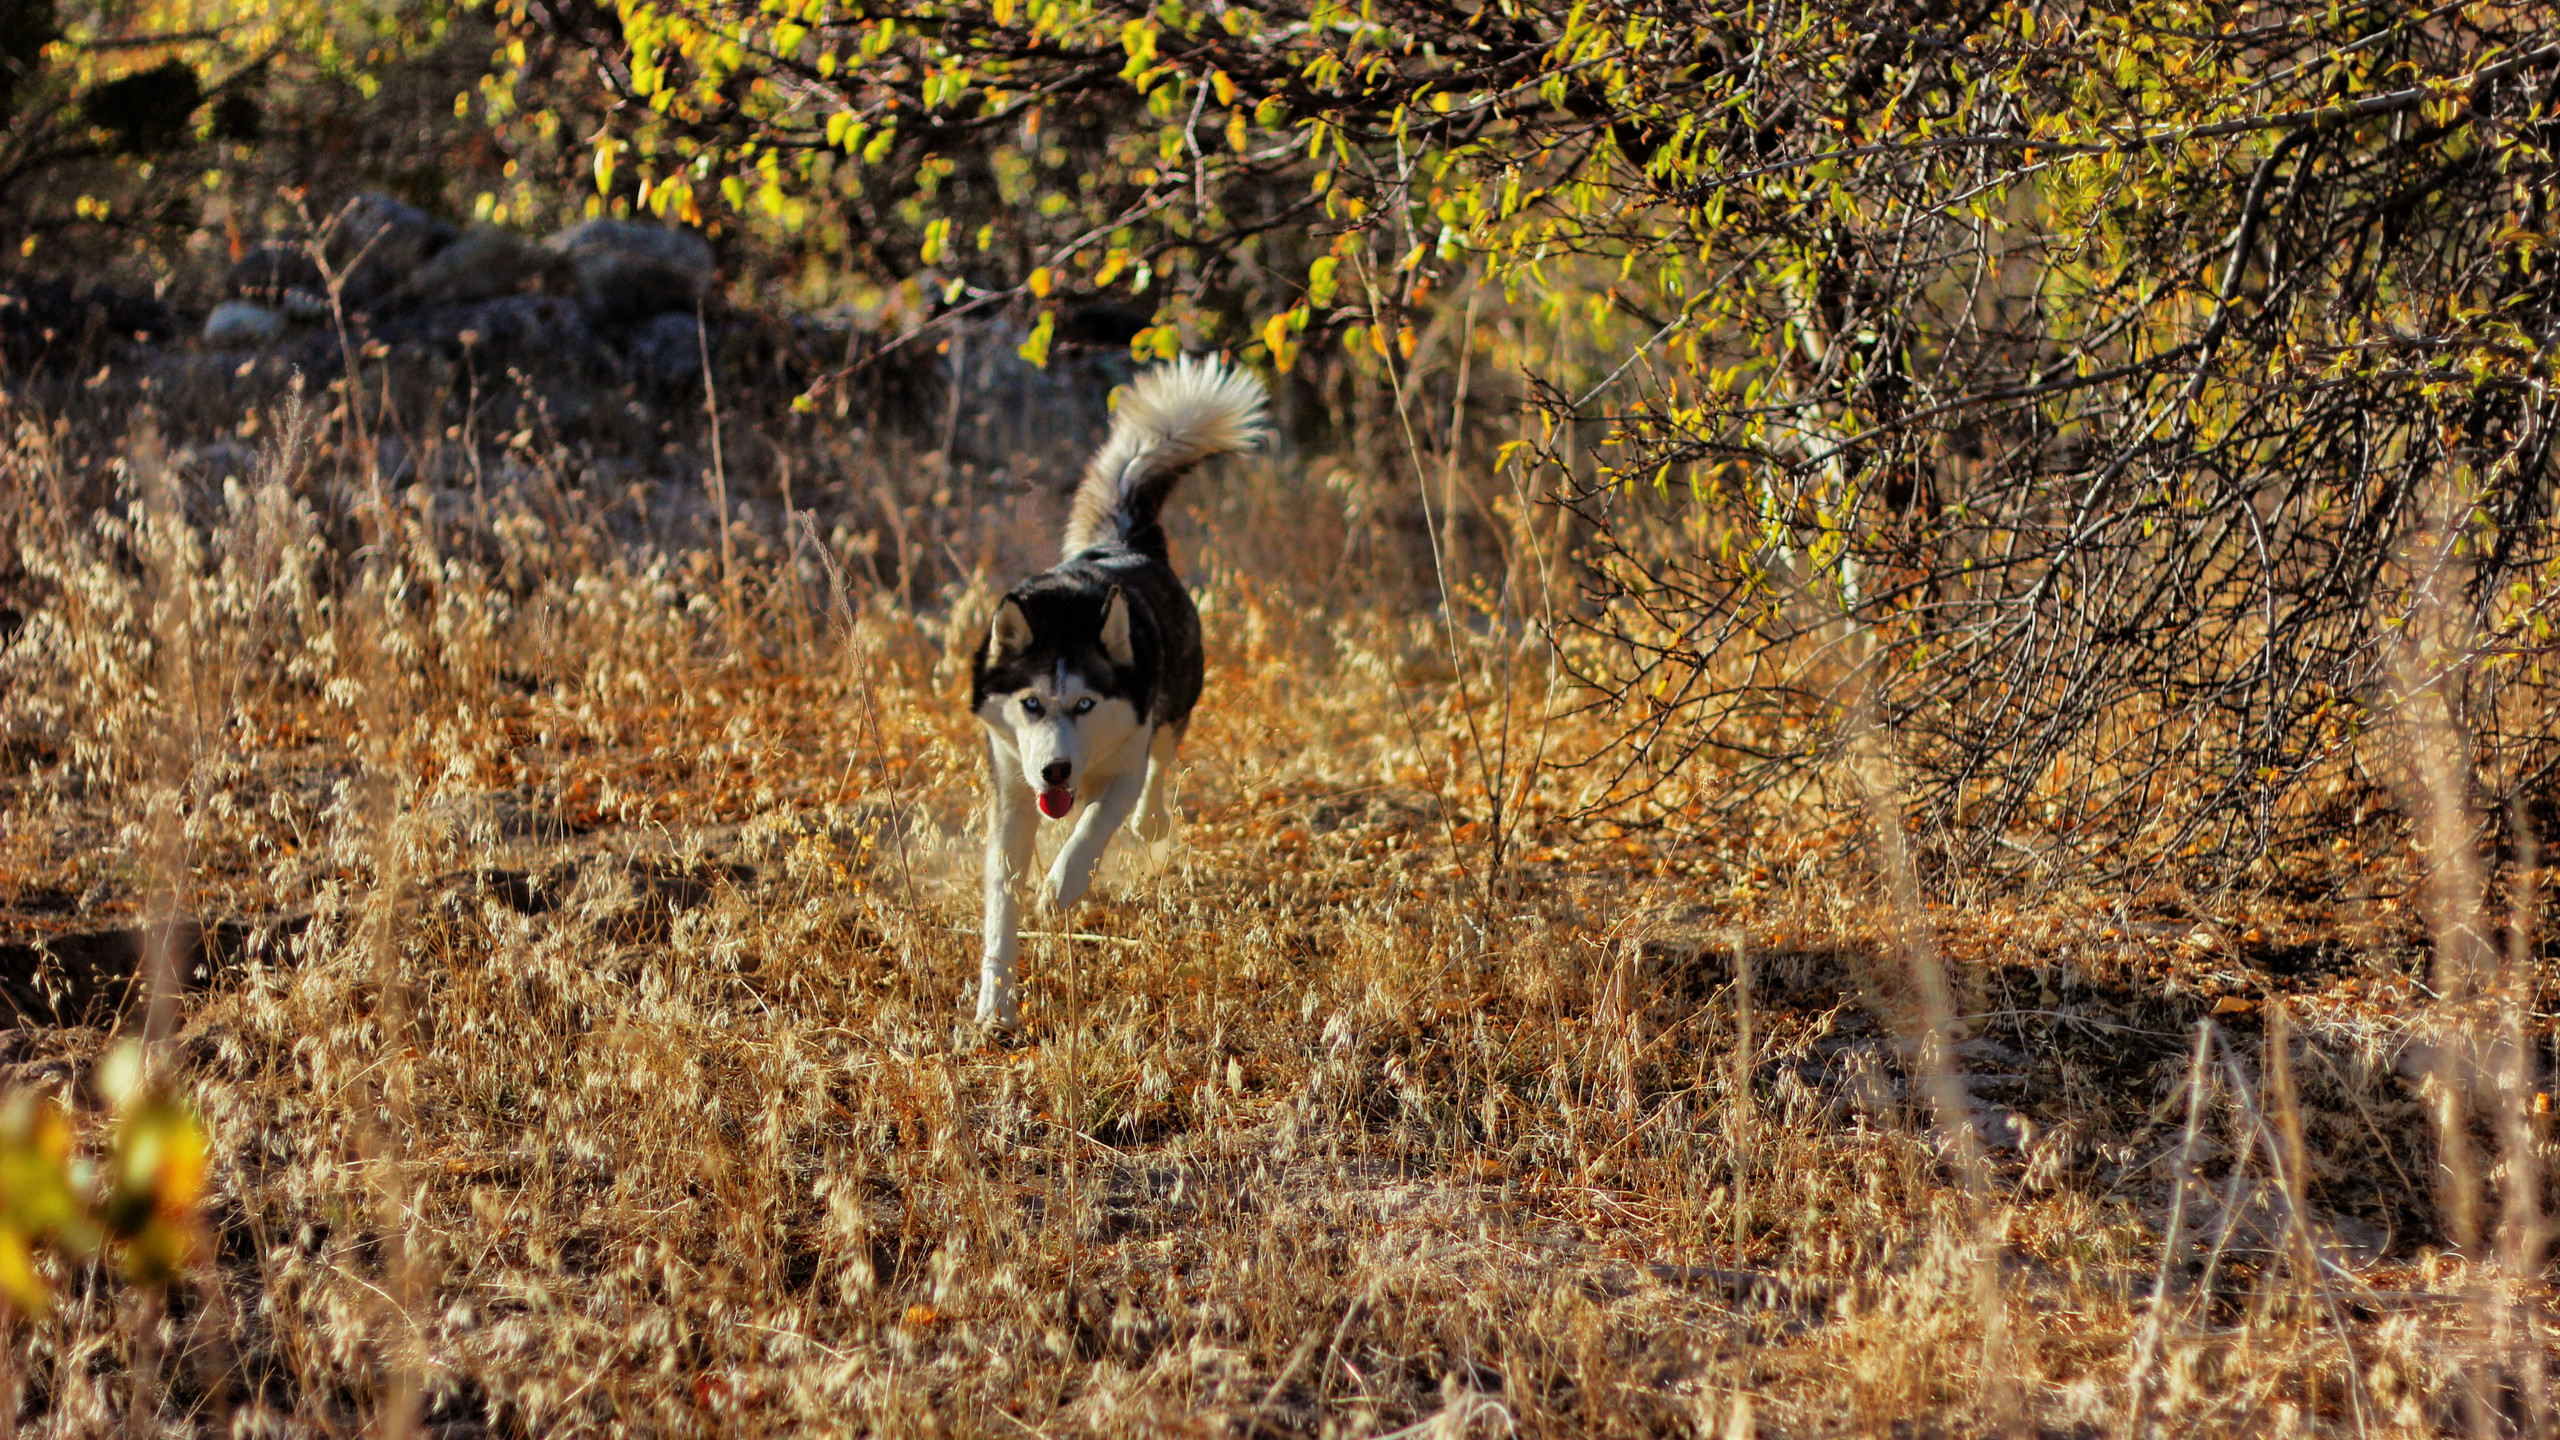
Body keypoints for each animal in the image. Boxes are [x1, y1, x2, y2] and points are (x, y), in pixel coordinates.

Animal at [967, 353, 1269, 1019]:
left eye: (1086, 703)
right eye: (1030, 704)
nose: (1055, 770)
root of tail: (1120, 543)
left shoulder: (1121, 765)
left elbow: (1091, 830)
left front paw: (1060, 889)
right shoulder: (1012, 789)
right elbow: (1002, 902)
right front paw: (995, 1005)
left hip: (1175, 696)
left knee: (1161, 763)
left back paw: (1149, 823)